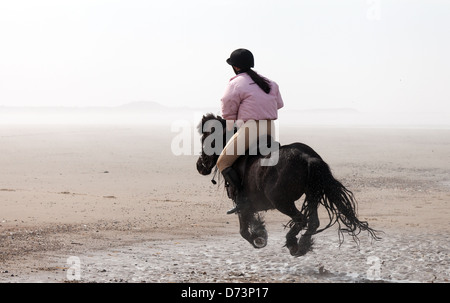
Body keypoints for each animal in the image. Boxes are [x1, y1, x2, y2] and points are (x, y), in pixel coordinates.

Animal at [197, 114, 380, 256]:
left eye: (204, 140)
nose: (199, 166)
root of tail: (307, 157)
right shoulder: (250, 206)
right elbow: (251, 221)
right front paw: (260, 232)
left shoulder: (241, 203)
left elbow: (243, 230)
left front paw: (259, 239)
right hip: (311, 194)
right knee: (313, 222)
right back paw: (303, 244)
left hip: (282, 201)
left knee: (301, 219)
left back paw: (293, 244)